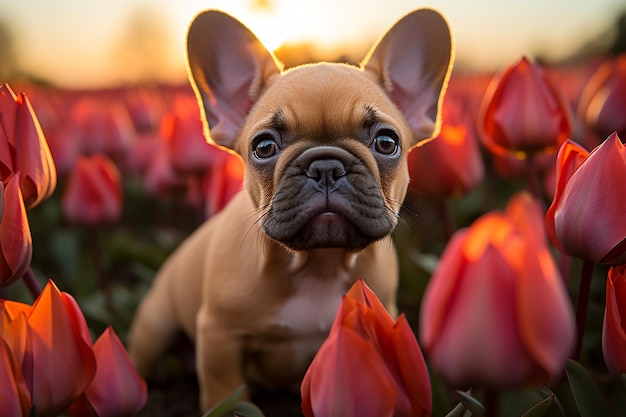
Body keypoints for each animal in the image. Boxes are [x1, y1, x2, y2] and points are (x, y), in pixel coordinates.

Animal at [128, 7, 448, 410]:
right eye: (264, 147)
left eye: (387, 142)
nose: (325, 166)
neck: (319, 264)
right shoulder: (219, 338)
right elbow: (224, 394)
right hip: (154, 328)